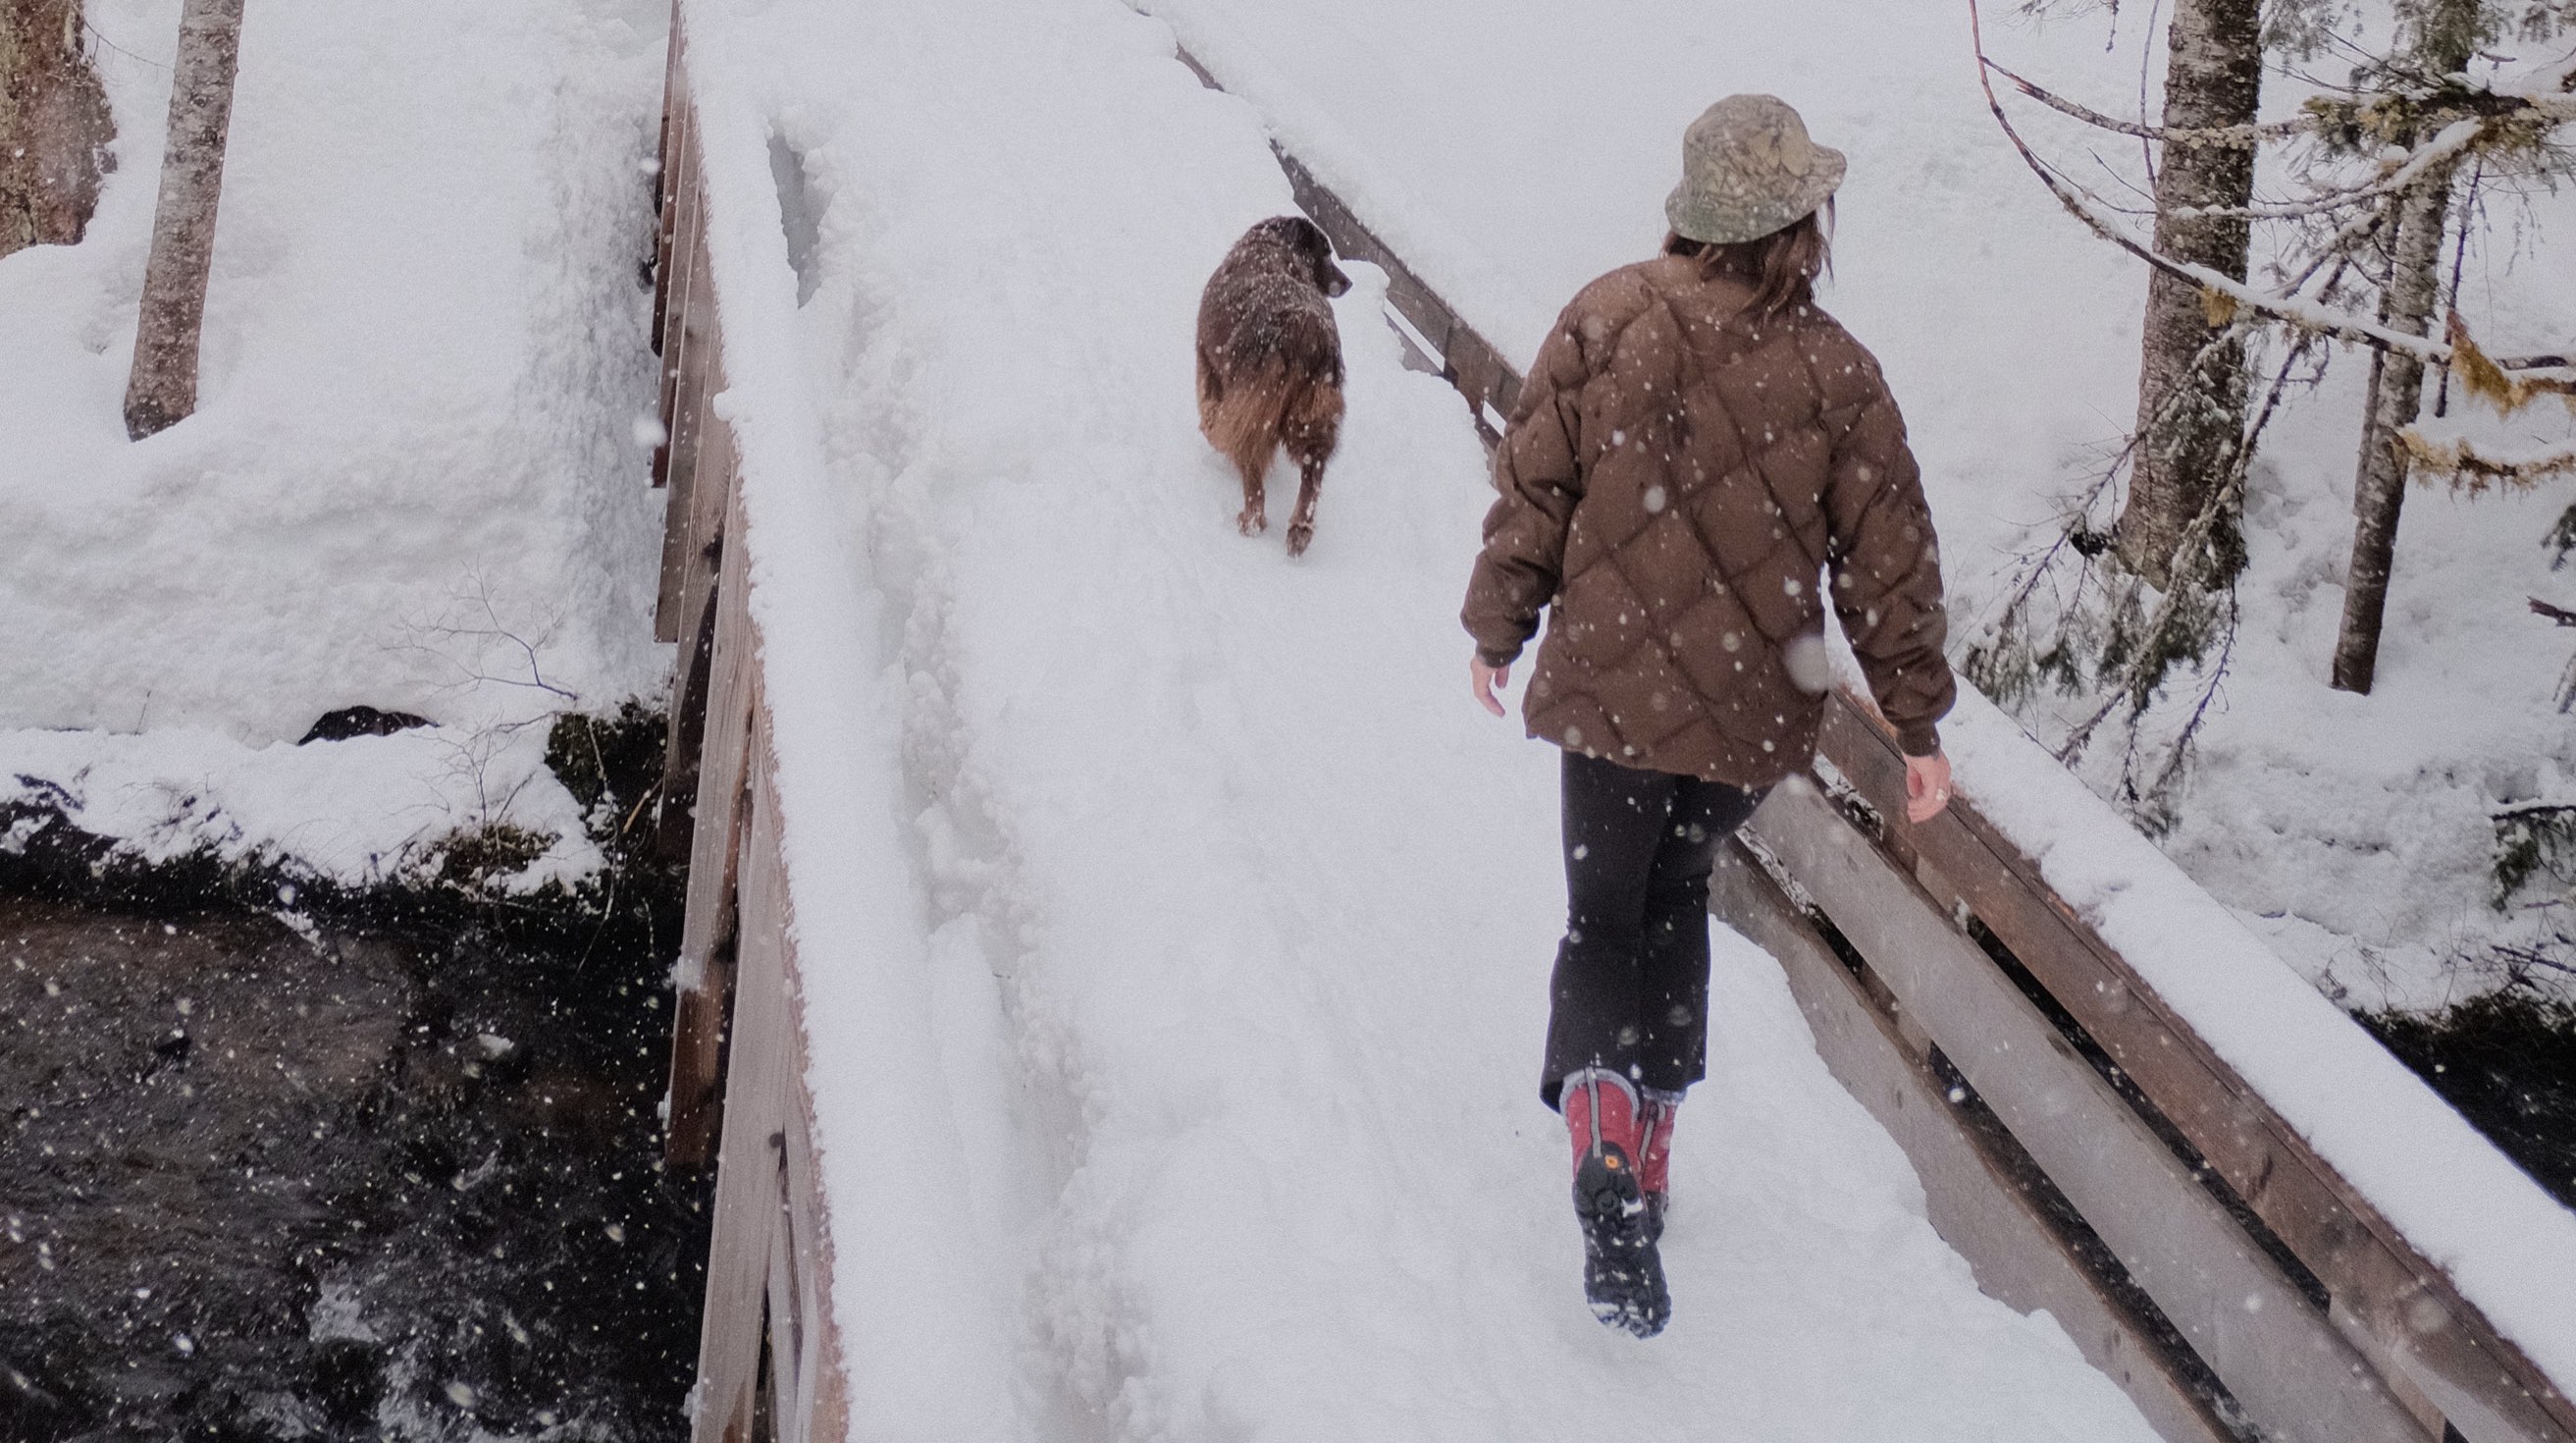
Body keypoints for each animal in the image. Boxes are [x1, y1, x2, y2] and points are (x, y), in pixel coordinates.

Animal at [1189, 215, 1349, 559]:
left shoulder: (1207, 366)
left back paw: (1251, 520)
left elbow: (1210, 412)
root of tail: (1306, 329)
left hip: (1254, 405)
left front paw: (1210, 431)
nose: (1346, 282)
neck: (1274, 245)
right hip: (1314, 412)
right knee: (1313, 467)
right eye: (1326, 253)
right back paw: (1300, 529)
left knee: (1253, 470)